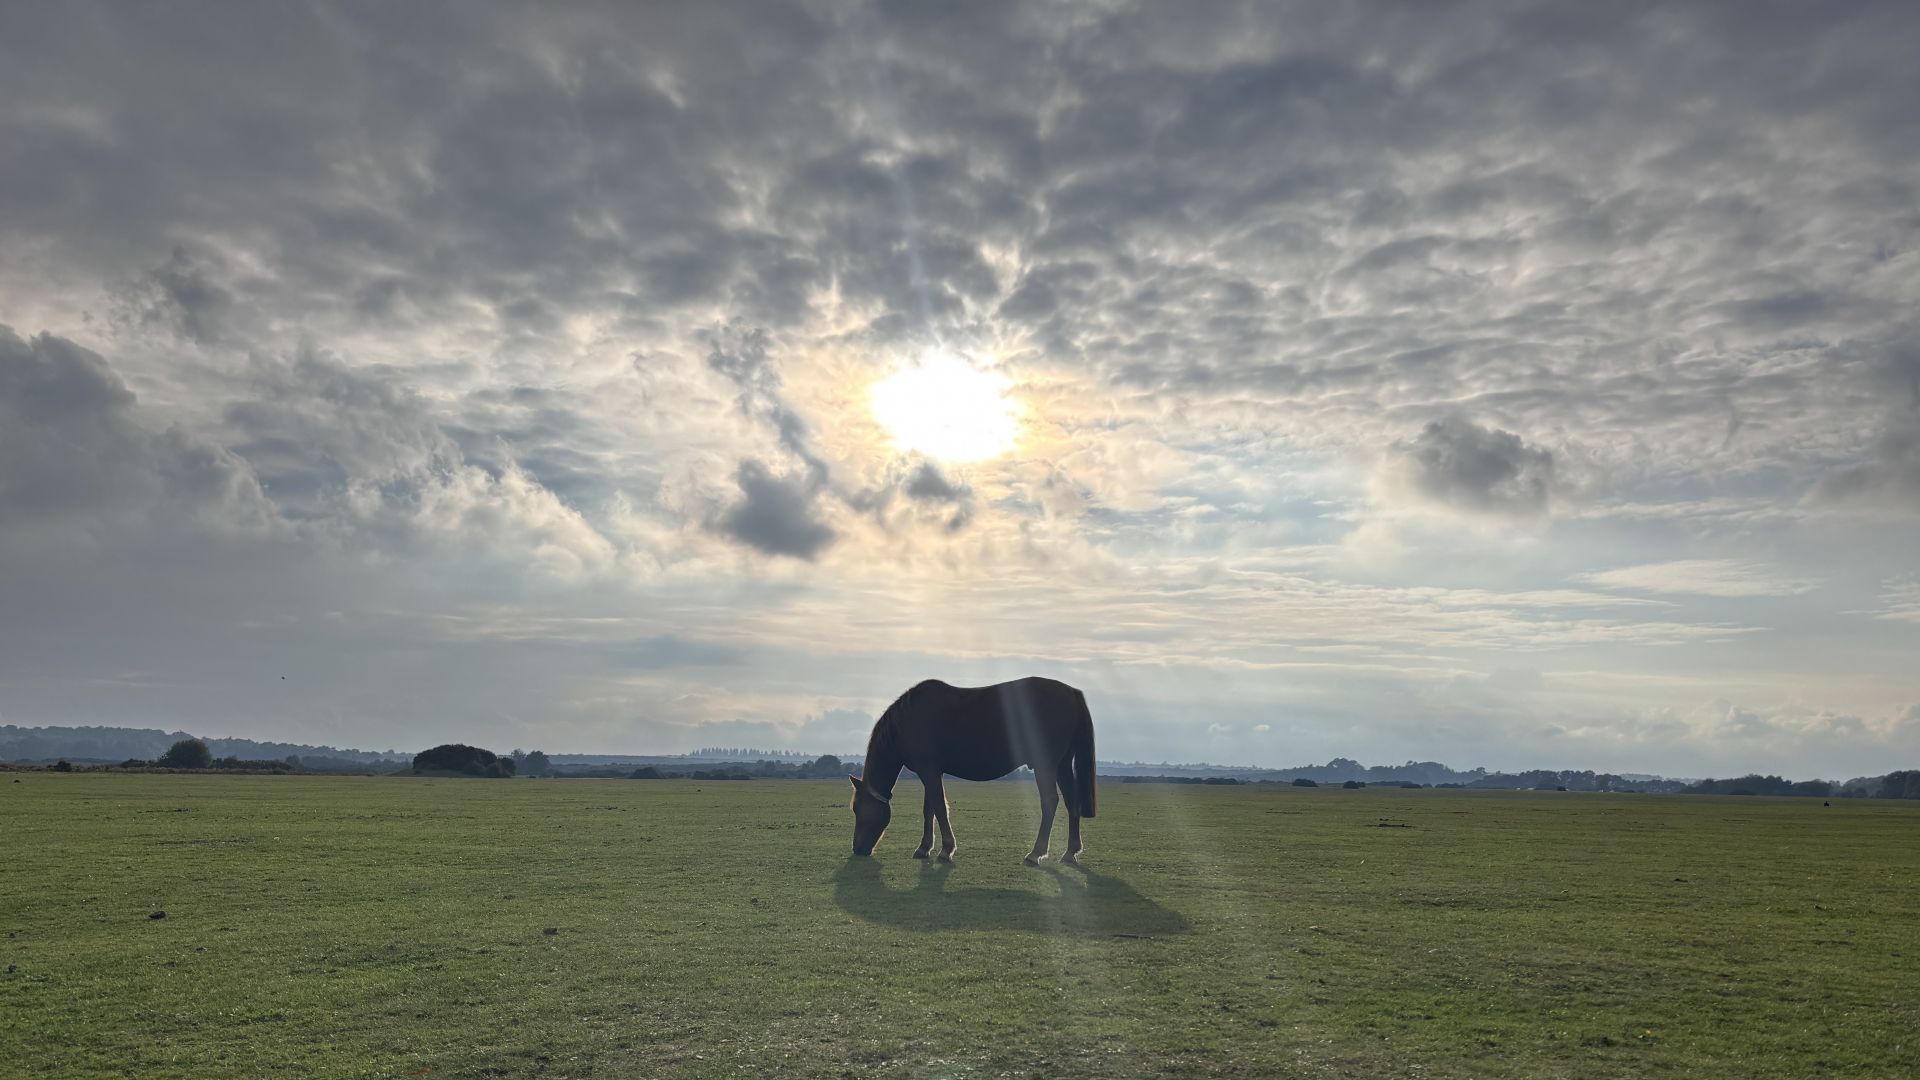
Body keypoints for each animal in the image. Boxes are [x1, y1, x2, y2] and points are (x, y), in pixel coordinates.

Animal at [848, 676, 1097, 865]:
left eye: (857, 809)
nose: (857, 848)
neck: (908, 720)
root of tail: (1072, 693)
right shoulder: (931, 772)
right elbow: (929, 809)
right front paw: (924, 848)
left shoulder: (928, 771)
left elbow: (939, 807)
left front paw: (946, 849)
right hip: (1062, 764)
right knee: (1071, 801)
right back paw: (1070, 852)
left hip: (1046, 765)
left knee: (1050, 801)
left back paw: (1036, 853)